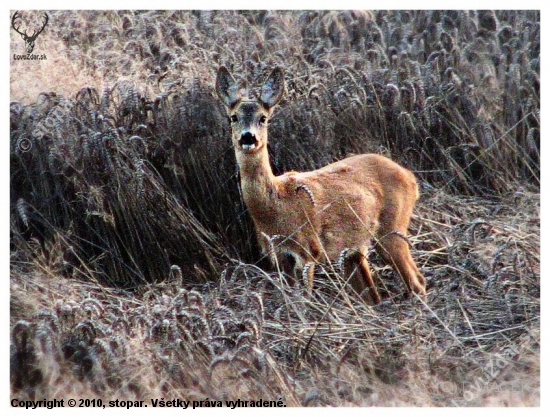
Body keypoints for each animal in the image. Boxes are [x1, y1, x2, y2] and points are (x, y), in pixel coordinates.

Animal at [216, 66, 426, 304]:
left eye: (263, 118)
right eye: (233, 117)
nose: (248, 137)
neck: (277, 205)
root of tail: (410, 177)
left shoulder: (309, 249)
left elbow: (305, 300)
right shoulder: (279, 256)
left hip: (392, 227)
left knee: (417, 282)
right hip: (355, 249)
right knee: (373, 294)